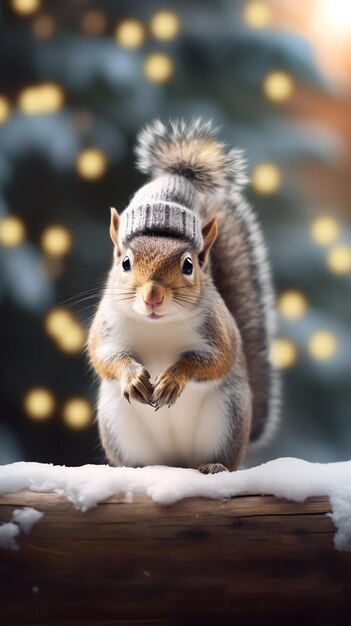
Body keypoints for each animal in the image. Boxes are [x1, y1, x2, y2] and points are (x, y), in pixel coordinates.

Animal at [88, 118, 280, 472]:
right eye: (125, 262)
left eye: (188, 265)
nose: (152, 297)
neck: (157, 326)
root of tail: (176, 463)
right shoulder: (107, 330)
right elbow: (105, 358)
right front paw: (133, 378)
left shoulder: (218, 331)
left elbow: (214, 360)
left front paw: (173, 379)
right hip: (117, 424)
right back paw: (133, 470)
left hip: (228, 417)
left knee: (227, 459)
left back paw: (215, 466)